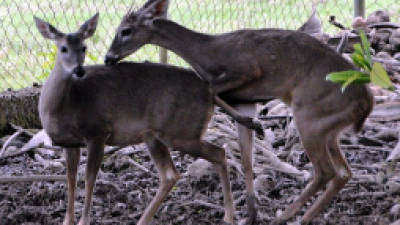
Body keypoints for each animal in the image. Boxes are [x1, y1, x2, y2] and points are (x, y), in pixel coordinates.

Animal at [34, 13, 236, 225]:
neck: (67, 104)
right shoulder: (70, 143)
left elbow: (89, 178)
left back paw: (229, 215)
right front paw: (67, 220)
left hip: (182, 131)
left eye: (84, 47)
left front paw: (83, 221)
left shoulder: (98, 132)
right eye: (63, 48)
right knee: (171, 174)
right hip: (154, 136)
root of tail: (210, 92)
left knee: (218, 152)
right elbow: (70, 178)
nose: (78, 70)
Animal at [103, 0, 376, 224]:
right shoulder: (245, 100)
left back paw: (288, 216)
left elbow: (211, 89)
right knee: (343, 172)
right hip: (328, 127)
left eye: (125, 31)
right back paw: (302, 216)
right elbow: (246, 161)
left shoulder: (248, 69)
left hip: (309, 116)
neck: (209, 53)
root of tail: (367, 101)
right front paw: (251, 214)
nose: (107, 58)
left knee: (325, 171)